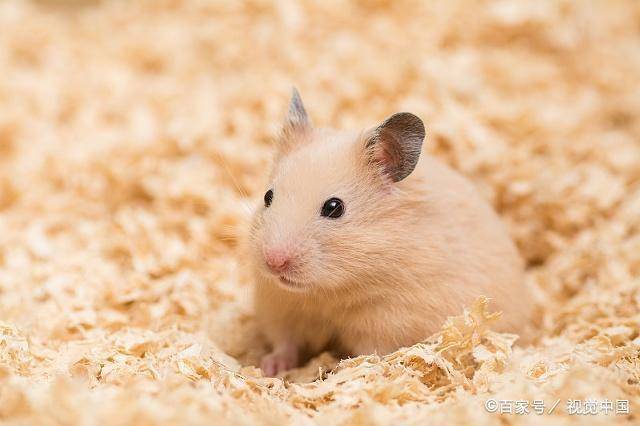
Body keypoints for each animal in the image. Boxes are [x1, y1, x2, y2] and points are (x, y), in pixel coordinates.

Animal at [248, 90, 532, 376]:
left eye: (334, 207)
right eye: (268, 196)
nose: (274, 262)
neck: (326, 293)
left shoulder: (389, 321)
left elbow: (368, 354)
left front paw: (339, 370)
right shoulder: (281, 306)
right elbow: (285, 342)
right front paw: (269, 367)